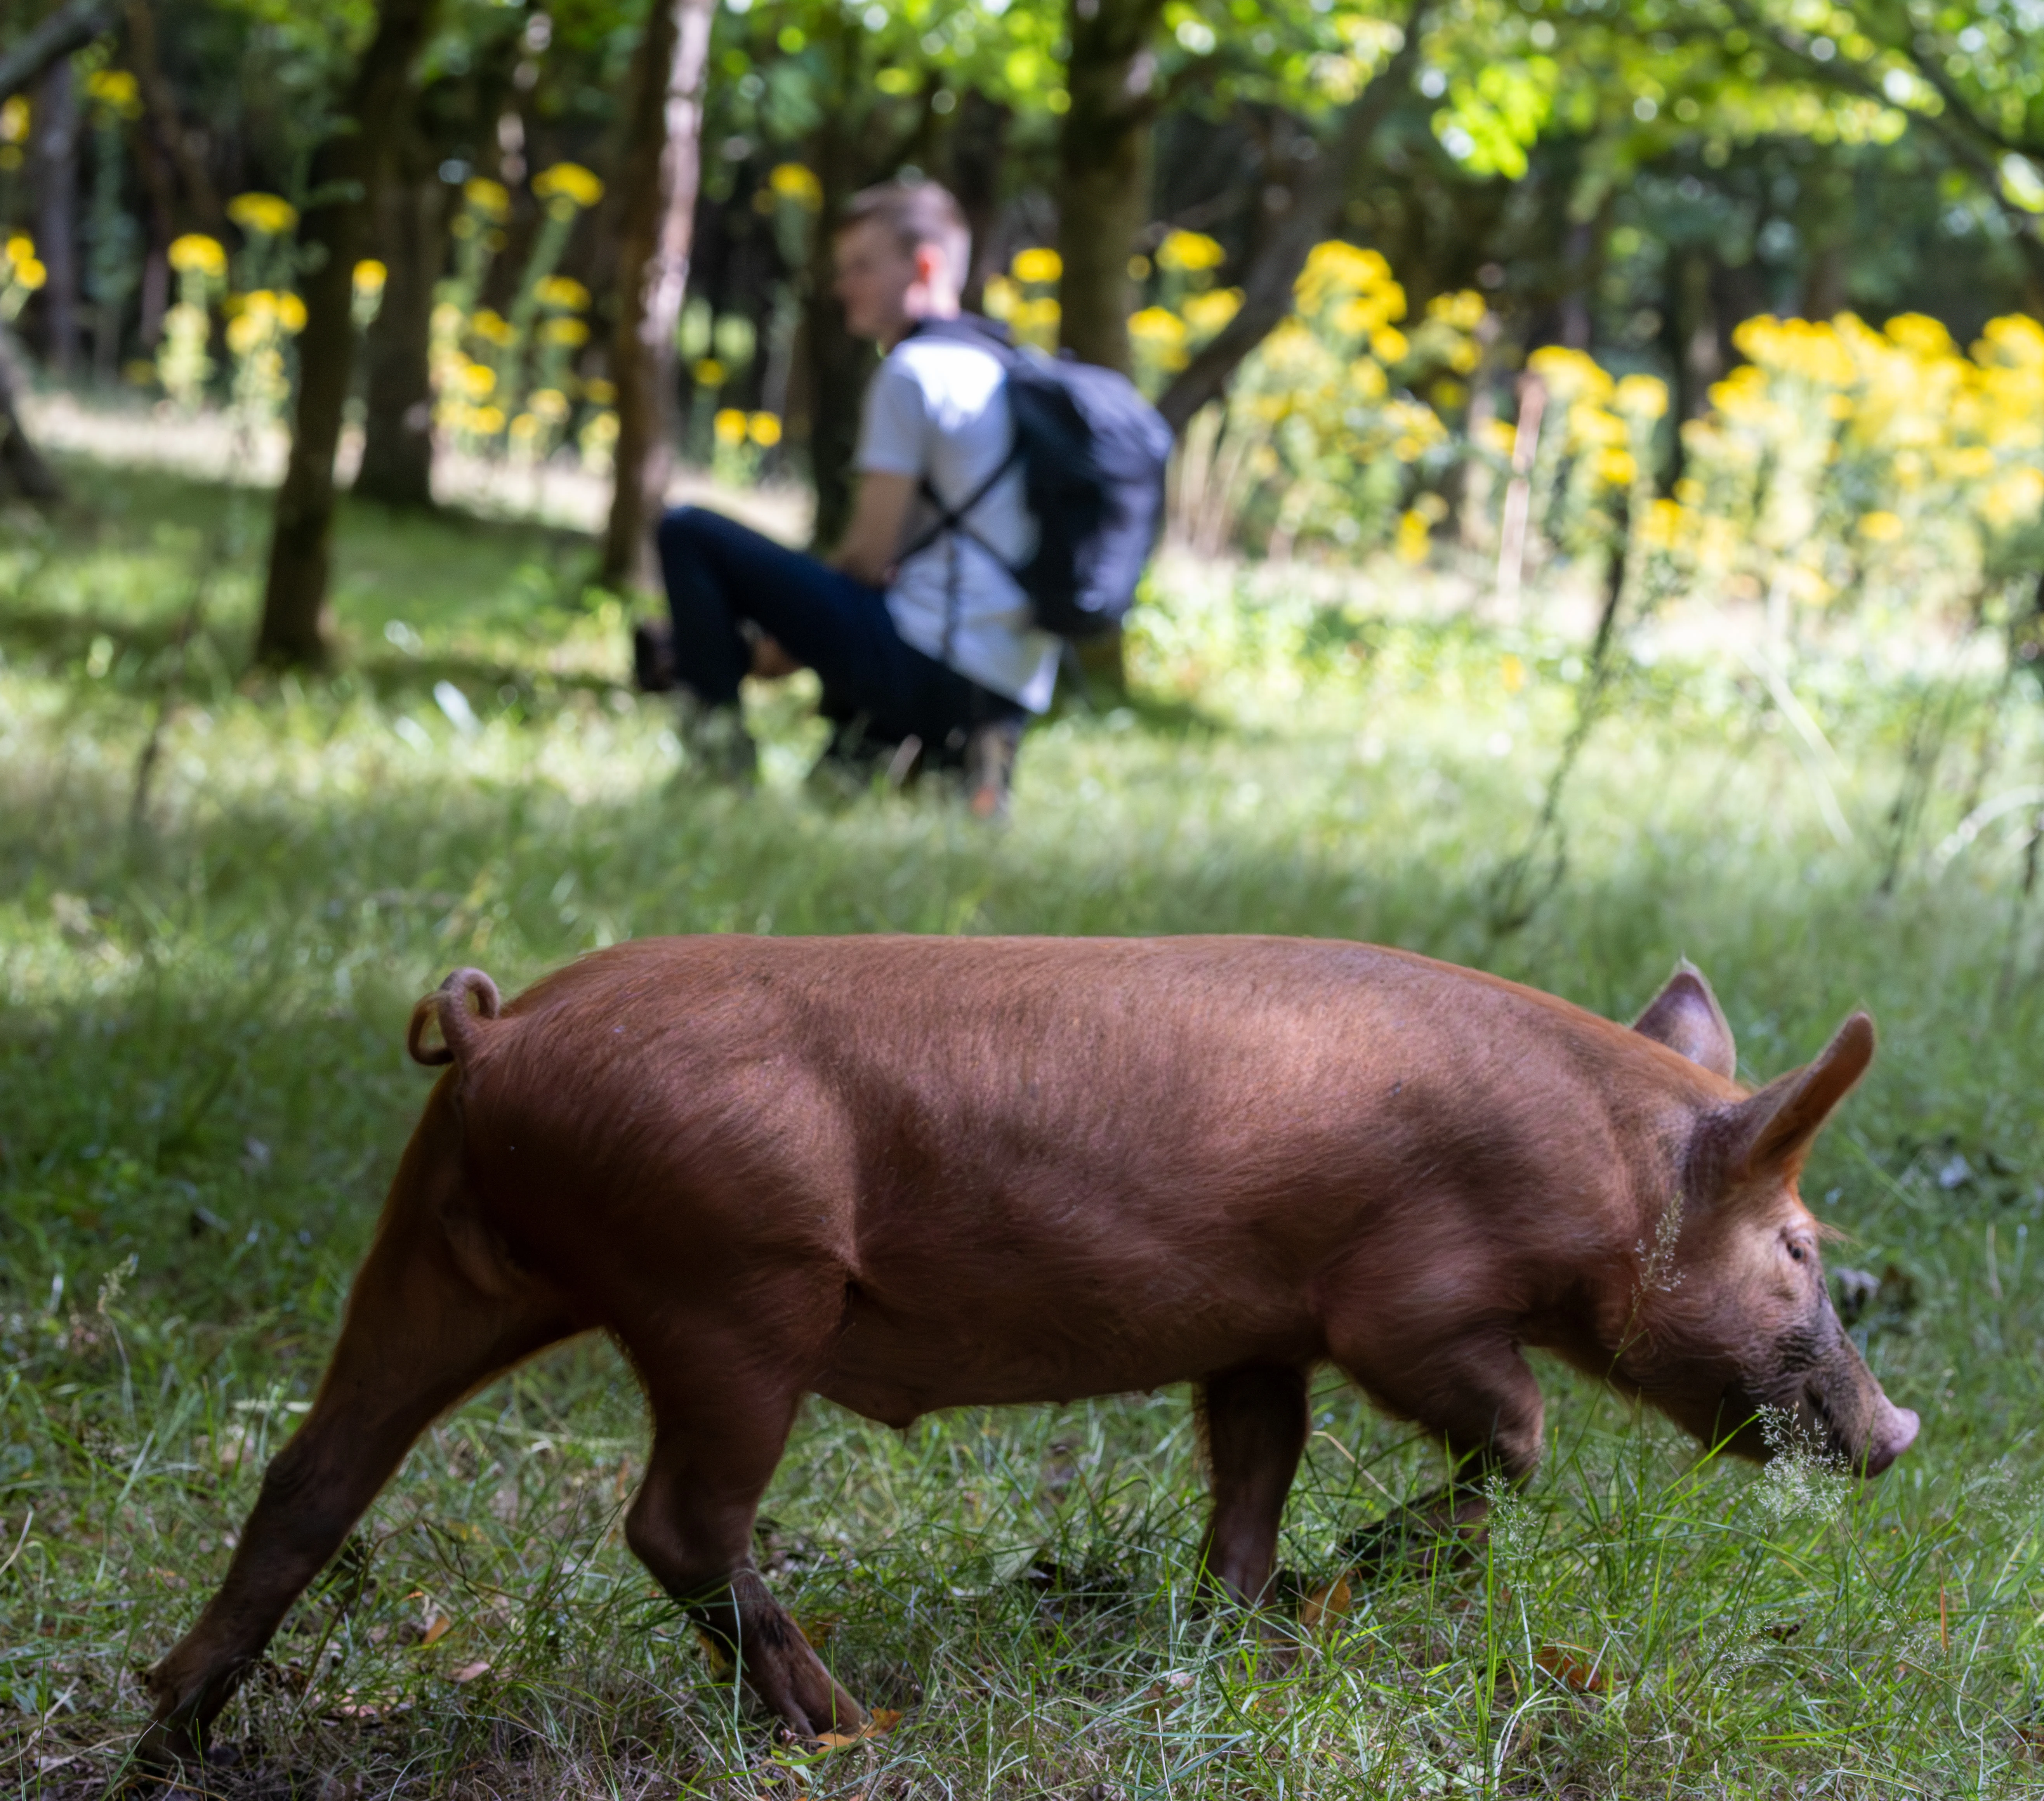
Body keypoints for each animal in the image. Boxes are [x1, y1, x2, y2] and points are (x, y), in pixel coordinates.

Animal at [140, 935, 1917, 1757]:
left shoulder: (1254, 1331)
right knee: (673, 1521)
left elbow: (1249, 1476)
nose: (1897, 1433)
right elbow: (1513, 1428)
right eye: (1798, 1248)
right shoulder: (1397, 1302)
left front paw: (1244, 1626)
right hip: (733, 1292)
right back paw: (850, 1728)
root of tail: (496, 1033)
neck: (1584, 1165)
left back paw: (175, 1728)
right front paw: (1357, 1575)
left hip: (441, 1247)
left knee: (311, 1469)